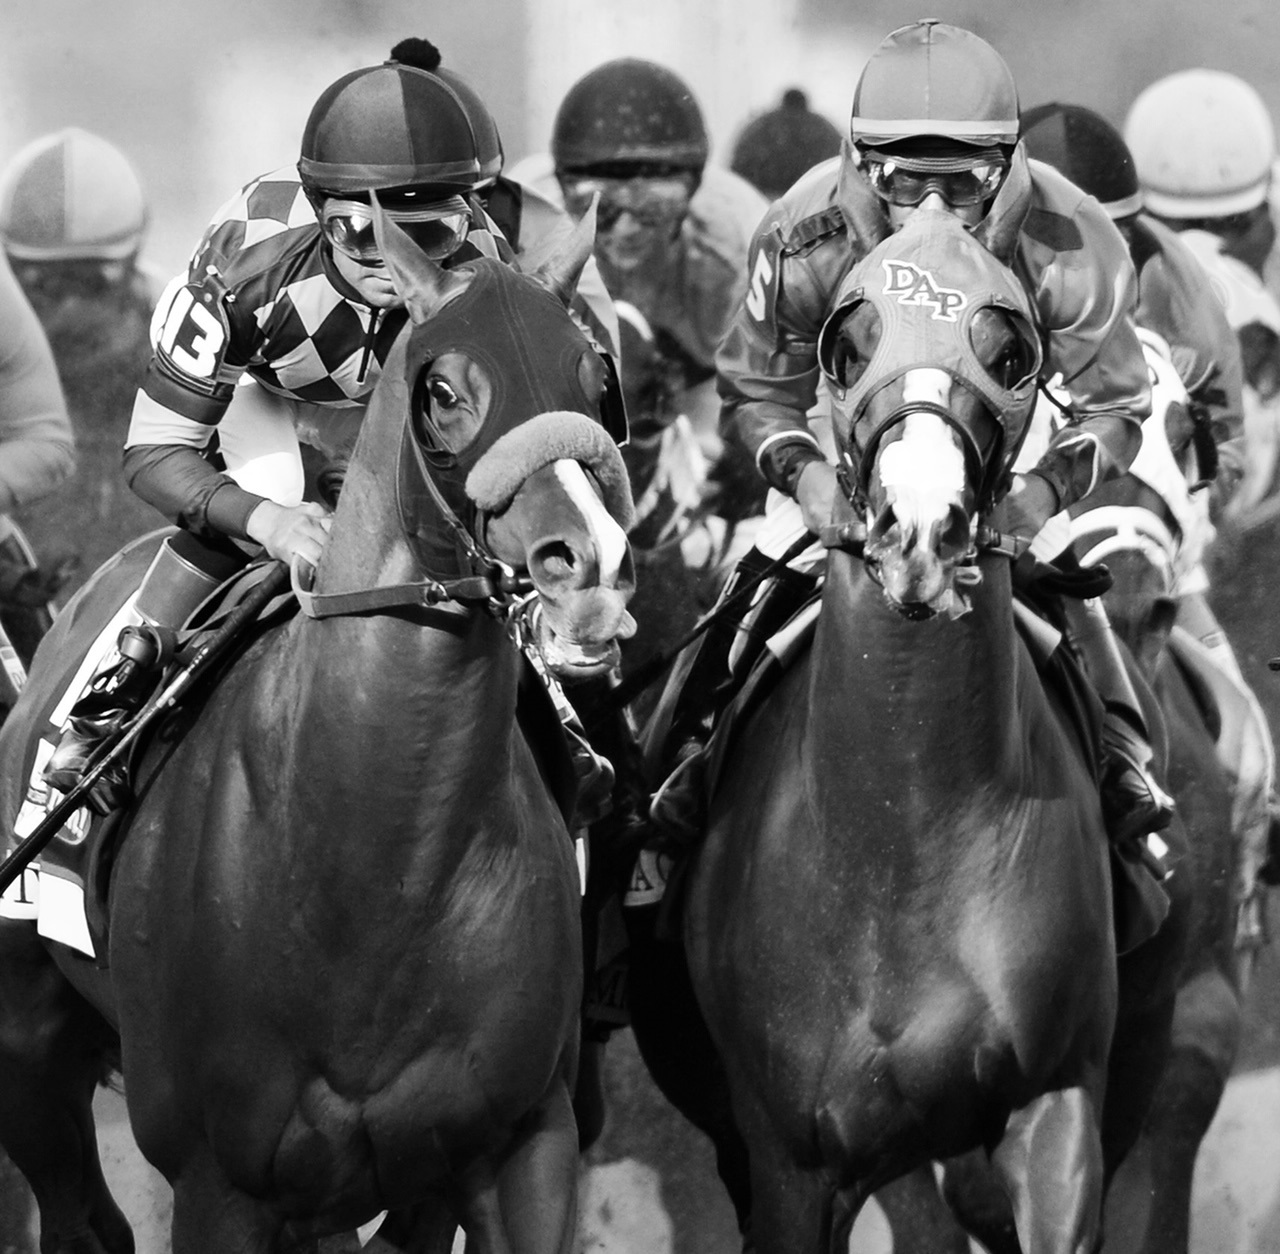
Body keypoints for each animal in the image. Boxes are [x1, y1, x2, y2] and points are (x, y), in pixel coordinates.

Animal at [0, 206, 637, 1254]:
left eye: (595, 379)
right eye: (446, 392)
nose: (588, 562)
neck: (374, 865)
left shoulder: (519, 1145)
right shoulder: (221, 1182)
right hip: (32, 1051)